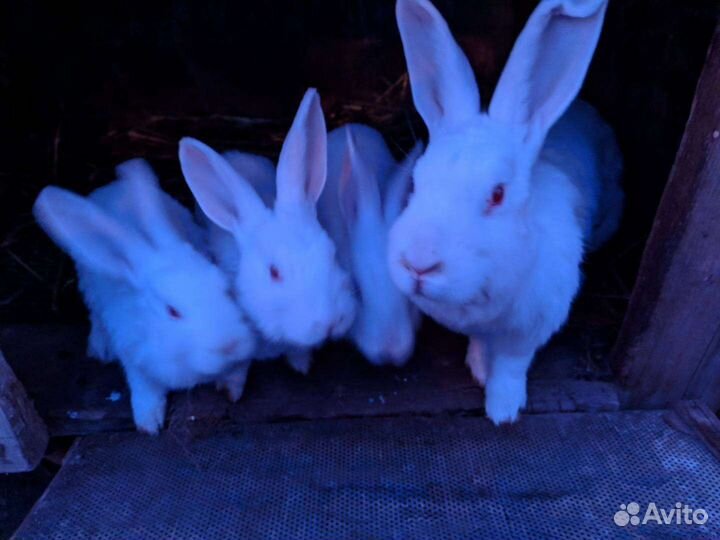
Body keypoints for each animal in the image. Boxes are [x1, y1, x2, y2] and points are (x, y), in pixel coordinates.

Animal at [33, 159, 256, 434]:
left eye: (224, 288)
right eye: (172, 311)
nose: (229, 344)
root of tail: (110, 187)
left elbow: (237, 371)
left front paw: (231, 390)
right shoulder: (136, 356)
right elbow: (146, 390)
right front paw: (148, 424)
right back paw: (100, 347)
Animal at [388, 0, 623, 425]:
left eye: (497, 195)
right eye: (416, 180)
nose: (418, 264)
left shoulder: (533, 326)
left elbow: (513, 365)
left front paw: (503, 409)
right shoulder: (479, 326)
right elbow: (482, 344)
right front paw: (480, 368)